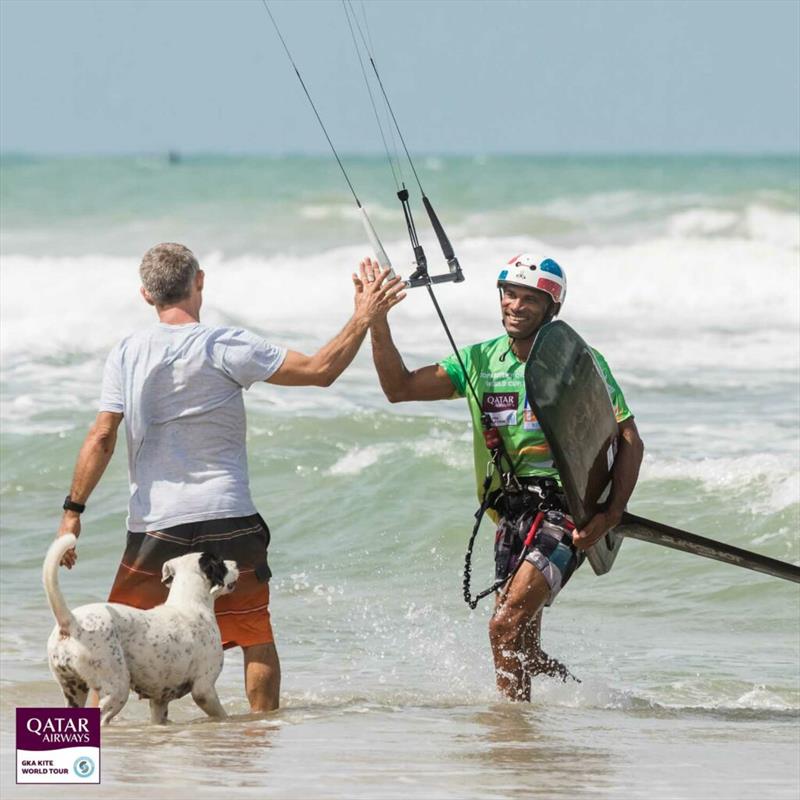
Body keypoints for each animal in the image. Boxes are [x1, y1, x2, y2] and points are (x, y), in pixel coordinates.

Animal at [43, 536, 238, 728]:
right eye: (221, 562)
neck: (190, 602)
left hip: (74, 691)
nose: (236, 563)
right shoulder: (204, 689)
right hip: (117, 690)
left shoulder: (159, 700)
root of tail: (71, 621)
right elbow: (221, 714)